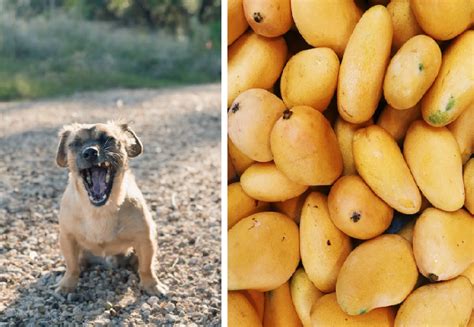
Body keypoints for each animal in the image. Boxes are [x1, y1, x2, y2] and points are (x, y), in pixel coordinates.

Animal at [54, 122, 168, 298]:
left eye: (109, 139)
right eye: (75, 144)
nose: (90, 152)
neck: (100, 210)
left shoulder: (145, 239)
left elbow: (146, 267)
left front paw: (152, 285)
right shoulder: (67, 238)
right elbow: (71, 266)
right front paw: (67, 285)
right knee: (78, 263)